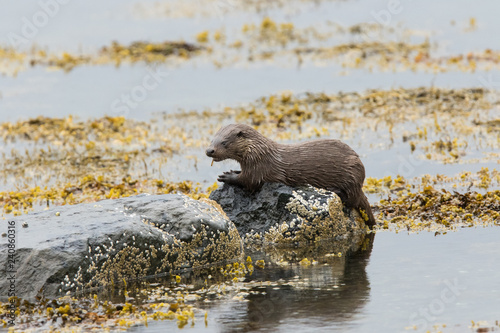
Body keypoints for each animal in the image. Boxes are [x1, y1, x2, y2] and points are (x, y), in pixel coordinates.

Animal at [206, 123, 376, 227]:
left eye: (224, 143)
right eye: (212, 140)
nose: (209, 150)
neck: (258, 153)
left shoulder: (259, 169)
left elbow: (249, 182)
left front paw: (228, 176)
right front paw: (233, 171)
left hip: (352, 174)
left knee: (352, 199)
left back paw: (334, 190)